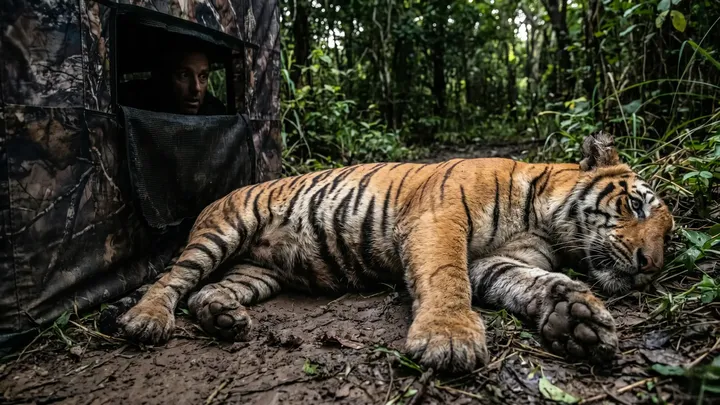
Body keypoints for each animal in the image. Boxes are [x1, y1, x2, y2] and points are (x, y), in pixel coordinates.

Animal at [119, 131, 674, 373]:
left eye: (668, 238)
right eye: (635, 205)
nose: (649, 269)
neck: (544, 220)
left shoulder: (496, 263)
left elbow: (531, 284)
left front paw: (576, 318)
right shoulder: (440, 220)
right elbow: (448, 278)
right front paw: (448, 339)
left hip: (258, 271)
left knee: (204, 292)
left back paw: (224, 319)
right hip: (222, 233)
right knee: (172, 279)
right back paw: (145, 320)